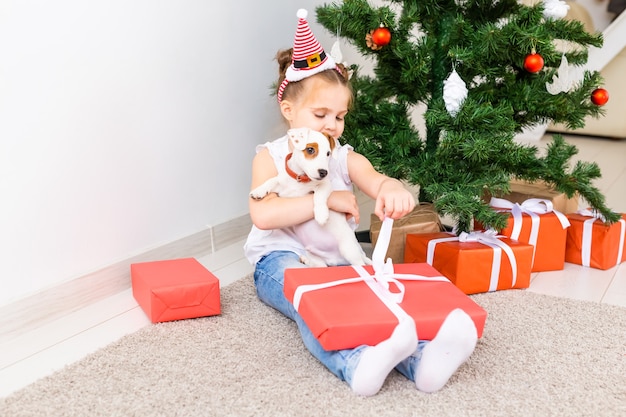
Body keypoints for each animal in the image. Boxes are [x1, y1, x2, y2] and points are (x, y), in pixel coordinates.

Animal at [249, 126, 370, 266]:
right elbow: (272, 181)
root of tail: (334, 262)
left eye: (328, 153)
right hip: (317, 259)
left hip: (349, 251)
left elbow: (319, 196)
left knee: (360, 265)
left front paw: (321, 214)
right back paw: (305, 260)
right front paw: (259, 191)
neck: (300, 179)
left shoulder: (325, 184)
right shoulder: (282, 189)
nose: (324, 172)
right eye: (310, 149)